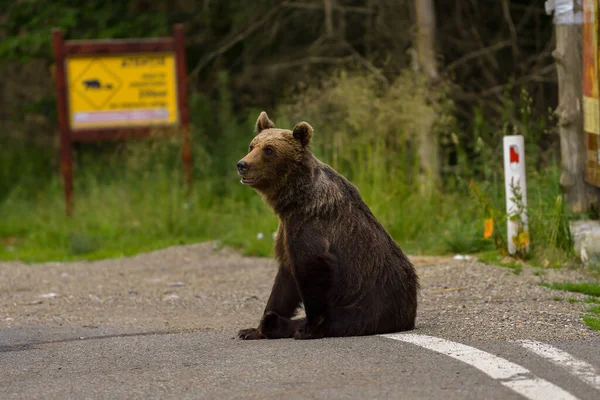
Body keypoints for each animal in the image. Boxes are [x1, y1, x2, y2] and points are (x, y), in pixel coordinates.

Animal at [234, 112, 418, 340]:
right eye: (252, 146)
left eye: (269, 149)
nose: (242, 164)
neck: (295, 198)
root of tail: (409, 314)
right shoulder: (286, 230)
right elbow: (284, 281)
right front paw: (252, 329)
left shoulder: (309, 224)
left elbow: (312, 268)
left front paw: (308, 328)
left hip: (363, 308)